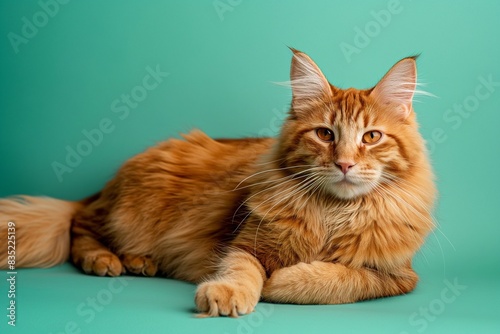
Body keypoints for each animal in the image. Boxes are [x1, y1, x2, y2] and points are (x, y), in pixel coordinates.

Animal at [0, 48, 434, 318]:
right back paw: (105, 260)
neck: (333, 212)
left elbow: (342, 278)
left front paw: (285, 279)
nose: (344, 163)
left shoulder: (398, 277)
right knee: (79, 225)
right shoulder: (243, 244)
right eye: (325, 135)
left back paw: (140, 262)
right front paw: (229, 293)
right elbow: (243, 272)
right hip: (131, 210)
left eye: (371, 137)